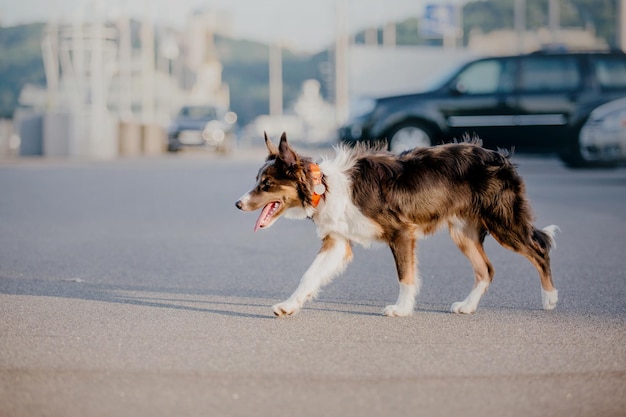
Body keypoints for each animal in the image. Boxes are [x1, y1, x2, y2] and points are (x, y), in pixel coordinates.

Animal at [234, 132, 556, 316]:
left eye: (266, 184)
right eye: (258, 181)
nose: (237, 204)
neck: (323, 186)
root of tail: (500, 157)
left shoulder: (402, 232)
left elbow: (405, 276)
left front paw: (402, 309)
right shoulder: (337, 242)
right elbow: (308, 276)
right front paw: (289, 305)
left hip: (504, 224)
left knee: (539, 250)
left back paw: (550, 298)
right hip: (463, 232)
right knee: (486, 270)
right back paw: (468, 306)